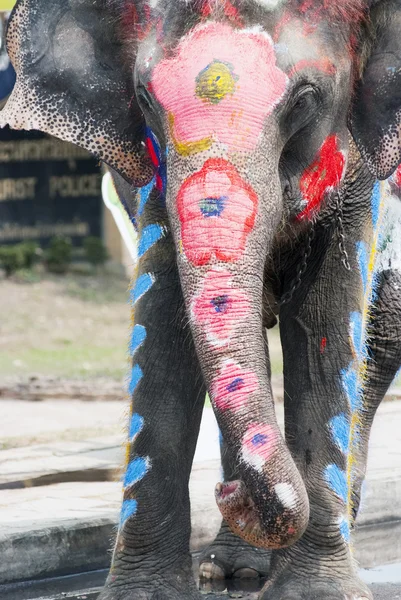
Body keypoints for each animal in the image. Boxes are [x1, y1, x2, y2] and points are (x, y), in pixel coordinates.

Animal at [2, 1, 400, 600]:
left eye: (305, 99)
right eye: (144, 98)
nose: (228, 493)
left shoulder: (357, 172)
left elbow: (325, 321)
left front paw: (318, 593)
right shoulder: (151, 176)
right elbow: (162, 323)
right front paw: (142, 593)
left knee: (381, 339)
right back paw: (234, 569)